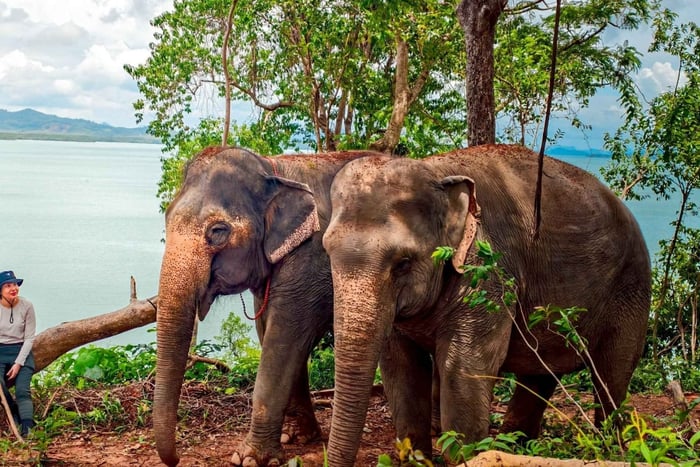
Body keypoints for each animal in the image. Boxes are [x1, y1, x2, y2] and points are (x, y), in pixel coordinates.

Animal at [153, 145, 382, 466]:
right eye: (167, 217)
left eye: (218, 231)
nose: (176, 458)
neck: (275, 168)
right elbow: (271, 333)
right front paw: (297, 438)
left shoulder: (311, 257)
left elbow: (283, 337)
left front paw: (249, 459)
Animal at [322, 144, 651, 466]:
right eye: (327, 251)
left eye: (403, 263)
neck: (435, 170)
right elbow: (400, 368)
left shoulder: (489, 269)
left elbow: (464, 367)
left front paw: (470, 457)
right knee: (541, 374)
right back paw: (517, 446)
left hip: (631, 288)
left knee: (611, 376)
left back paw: (613, 449)